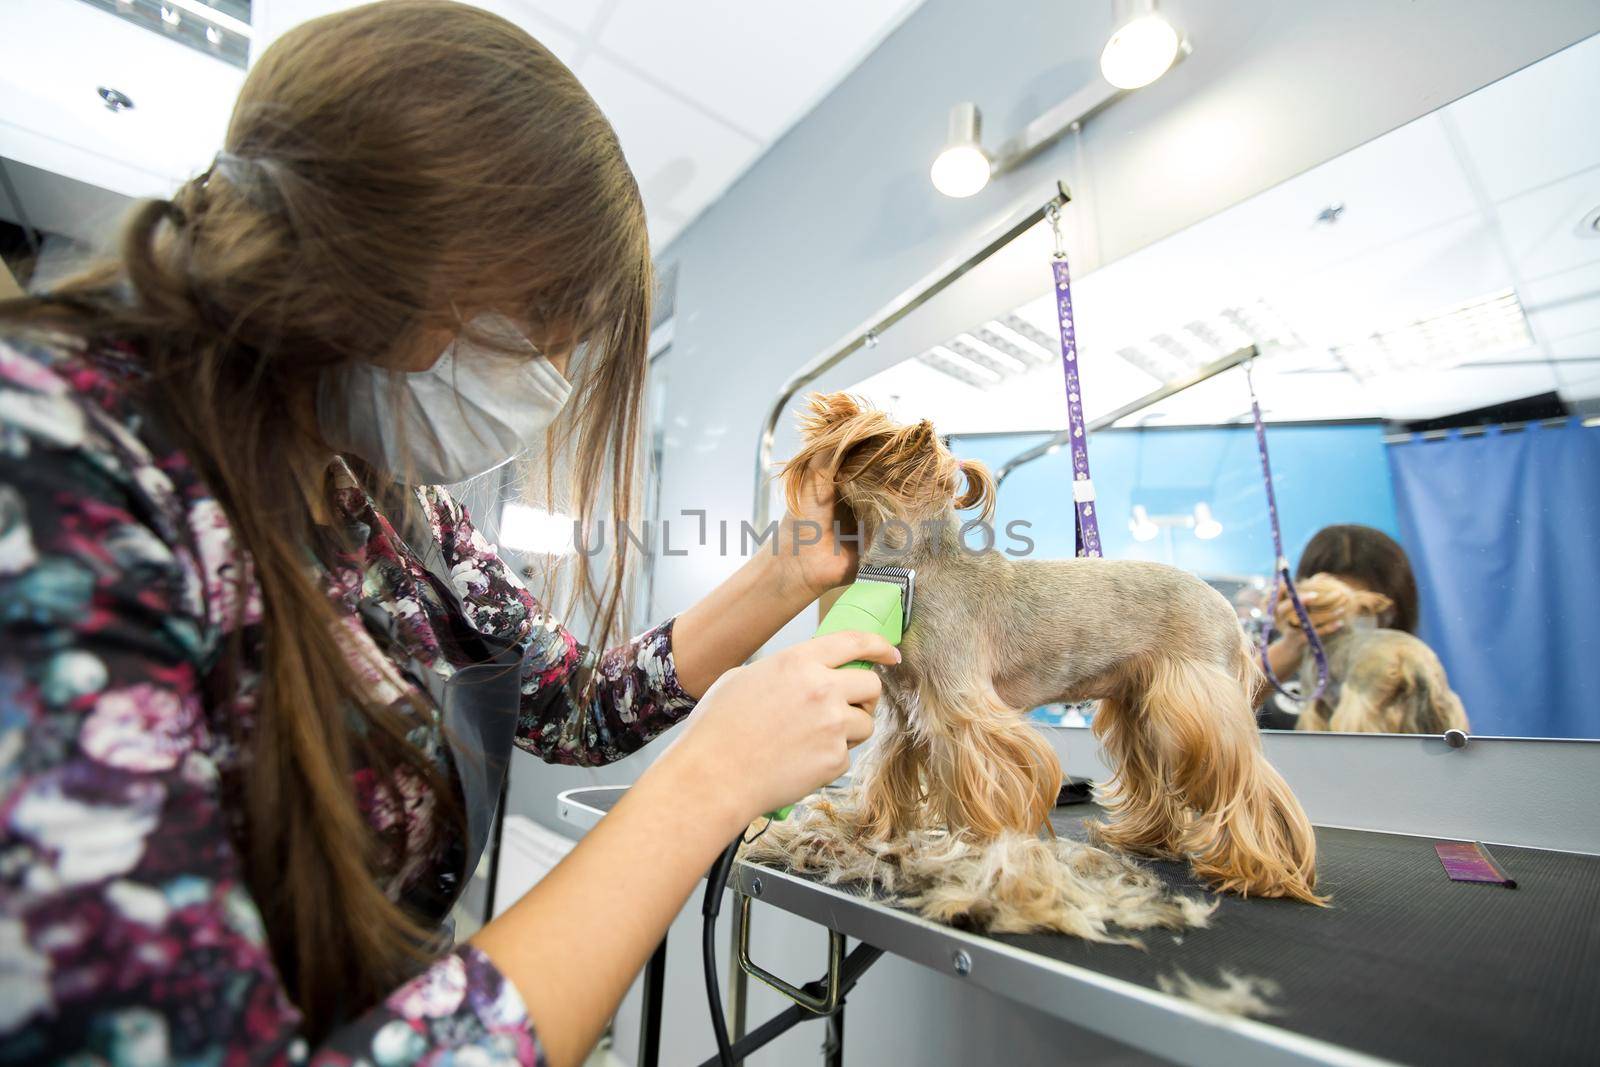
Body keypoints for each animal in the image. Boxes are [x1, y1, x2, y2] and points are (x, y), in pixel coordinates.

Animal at [758, 391, 1324, 921]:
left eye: (862, 436)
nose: (831, 409)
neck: (914, 567)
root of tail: (1231, 610)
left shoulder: (961, 707)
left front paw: (984, 851)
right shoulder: (902, 713)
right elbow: (884, 778)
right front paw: (864, 830)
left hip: (1194, 703)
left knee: (1248, 782)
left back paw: (1263, 869)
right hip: (1140, 703)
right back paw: (1145, 838)